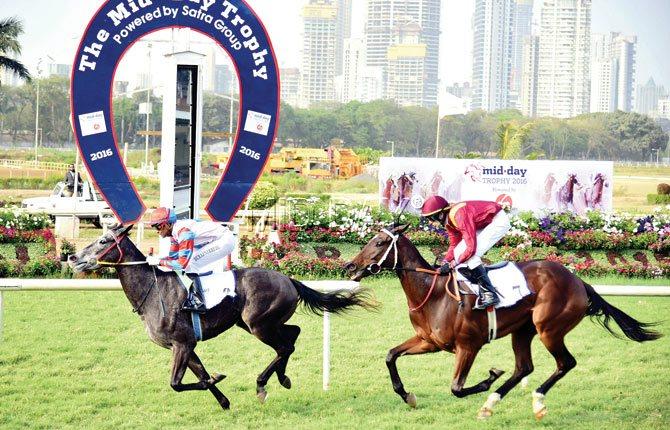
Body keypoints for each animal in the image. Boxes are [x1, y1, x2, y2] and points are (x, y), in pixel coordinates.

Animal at [70, 225, 376, 410]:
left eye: (104, 241)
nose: (73, 257)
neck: (154, 290)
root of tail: (288, 278)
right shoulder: (185, 346)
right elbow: (199, 376)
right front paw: (224, 399)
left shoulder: (182, 344)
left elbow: (177, 384)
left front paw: (218, 378)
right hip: (255, 323)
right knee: (293, 334)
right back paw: (282, 378)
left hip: (258, 324)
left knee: (285, 345)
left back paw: (264, 384)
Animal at [344, 225, 660, 420]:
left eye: (380, 242)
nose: (350, 266)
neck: (433, 293)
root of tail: (579, 281)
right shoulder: (429, 342)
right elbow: (390, 356)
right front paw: (407, 395)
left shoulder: (468, 346)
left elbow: (457, 388)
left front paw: (490, 376)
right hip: (522, 331)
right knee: (524, 367)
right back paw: (491, 404)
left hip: (548, 328)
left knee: (564, 363)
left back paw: (536, 400)